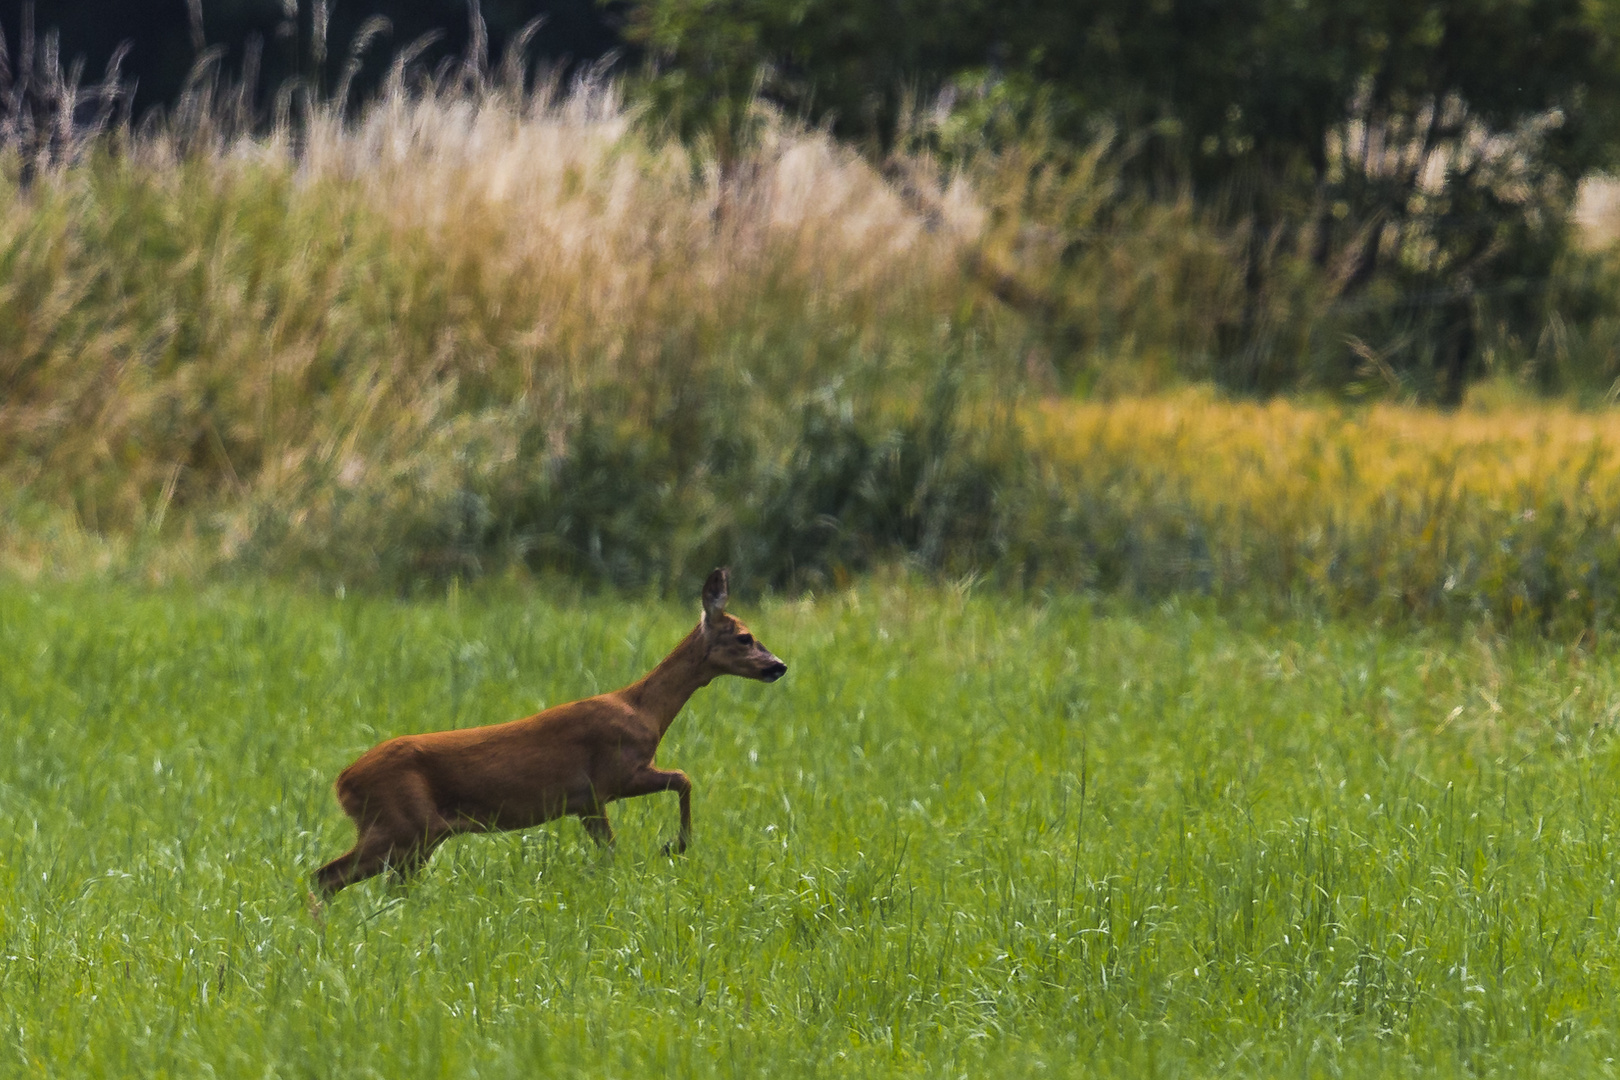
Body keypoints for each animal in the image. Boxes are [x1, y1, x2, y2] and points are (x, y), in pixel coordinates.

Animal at [307, 569, 784, 906]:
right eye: (745, 637)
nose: (778, 666)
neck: (645, 711)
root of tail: (343, 781)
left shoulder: (585, 802)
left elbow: (612, 849)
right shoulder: (613, 777)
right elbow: (684, 778)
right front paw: (674, 846)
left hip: (412, 835)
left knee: (359, 883)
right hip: (403, 826)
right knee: (325, 876)